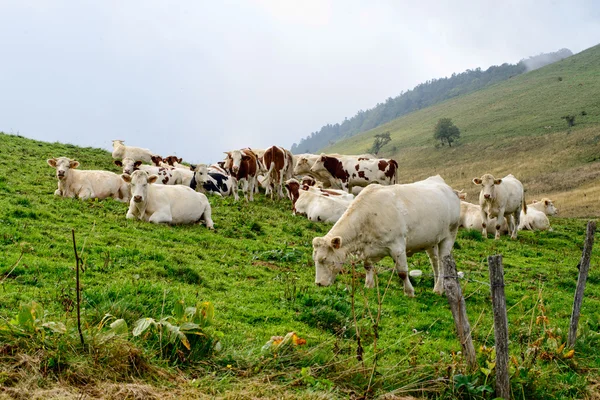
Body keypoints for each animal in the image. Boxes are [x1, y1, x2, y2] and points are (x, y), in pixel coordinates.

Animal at [312, 177, 458, 296]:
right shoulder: (367, 248)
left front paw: (409, 292)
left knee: (442, 263)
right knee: (435, 262)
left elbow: (402, 272)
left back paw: (439, 289)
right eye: (315, 259)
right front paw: (368, 285)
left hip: (449, 235)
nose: (319, 283)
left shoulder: (398, 247)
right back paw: (437, 286)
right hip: (431, 241)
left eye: (324, 259)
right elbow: (367, 266)